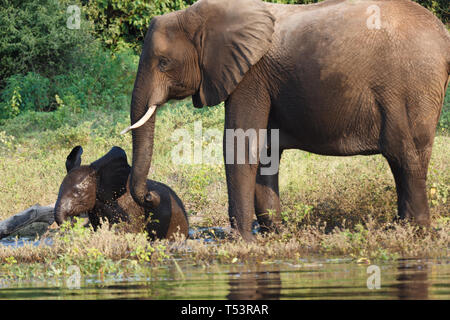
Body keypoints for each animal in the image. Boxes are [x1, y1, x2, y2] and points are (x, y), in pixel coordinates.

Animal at [121, 0, 448, 240]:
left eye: (164, 63)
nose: (151, 196)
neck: (199, 15)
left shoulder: (250, 76)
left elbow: (241, 146)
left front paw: (242, 242)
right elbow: (266, 151)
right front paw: (275, 235)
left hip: (410, 88)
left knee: (404, 156)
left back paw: (415, 233)